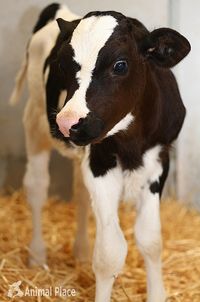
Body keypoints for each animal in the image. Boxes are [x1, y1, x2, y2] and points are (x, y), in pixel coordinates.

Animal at [10, 2, 191, 302]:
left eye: (120, 65)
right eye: (63, 64)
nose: (66, 122)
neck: (132, 141)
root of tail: (60, 10)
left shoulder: (159, 161)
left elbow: (151, 240)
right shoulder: (100, 164)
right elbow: (110, 253)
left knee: (80, 194)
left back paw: (81, 251)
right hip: (34, 122)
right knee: (36, 188)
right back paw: (37, 255)